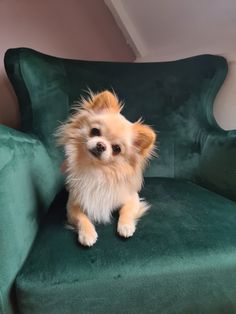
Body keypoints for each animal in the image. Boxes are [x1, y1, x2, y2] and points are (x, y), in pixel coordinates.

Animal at [56, 89, 157, 247]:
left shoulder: (132, 198)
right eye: (95, 131)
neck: (97, 169)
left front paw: (126, 226)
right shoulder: (72, 205)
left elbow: (126, 211)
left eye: (117, 149)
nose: (101, 145)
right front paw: (87, 233)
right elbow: (81, 217)